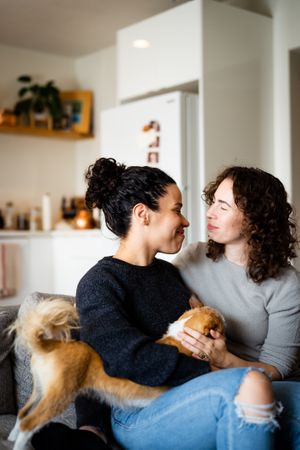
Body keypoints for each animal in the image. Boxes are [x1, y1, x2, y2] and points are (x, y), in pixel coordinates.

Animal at [8, 296, 224, 450]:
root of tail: (48, 344)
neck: (181, 337)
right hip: (60, 395)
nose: (224, 317)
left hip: (40, 391)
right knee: (30, 423)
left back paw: (12, 437)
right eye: (220, 321)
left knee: (22, 413)